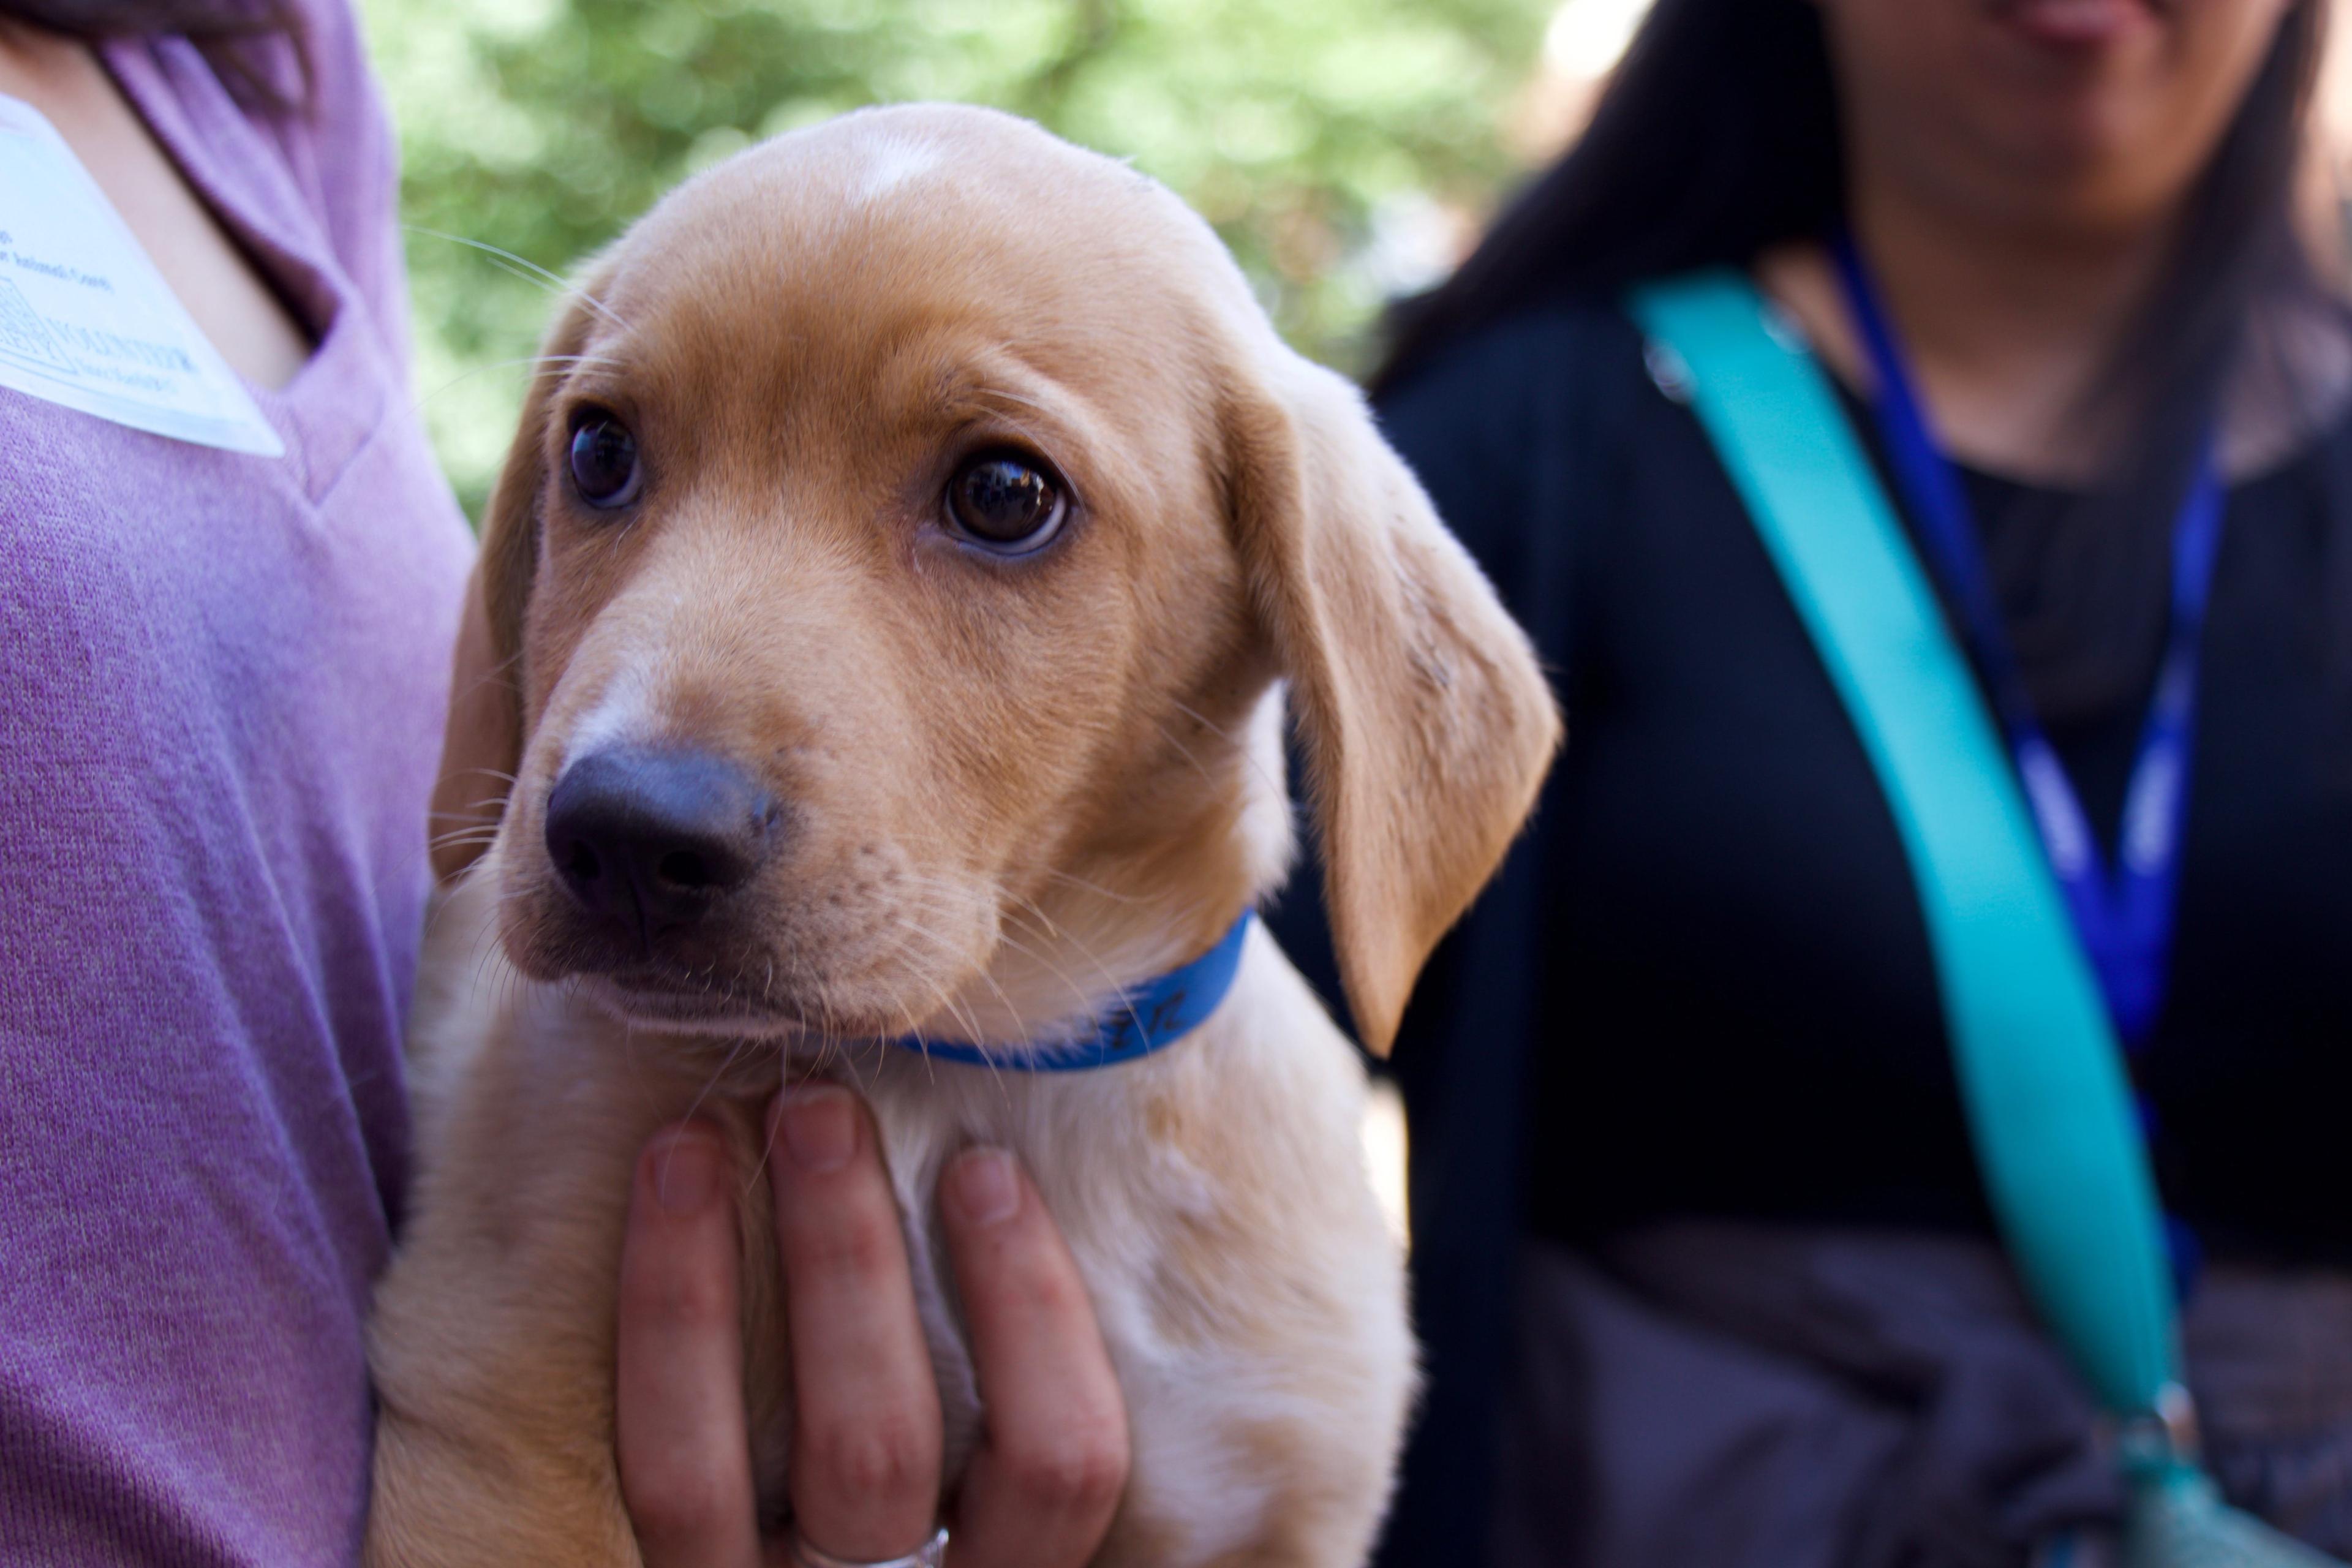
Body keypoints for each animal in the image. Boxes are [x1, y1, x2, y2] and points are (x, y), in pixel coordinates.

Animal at [371, 107, 1561, 1568]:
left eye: (1003, 493)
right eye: (598, 454)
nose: (630, 836)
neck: (972, 1069)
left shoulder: (1262, 1495)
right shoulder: (495, 1416)